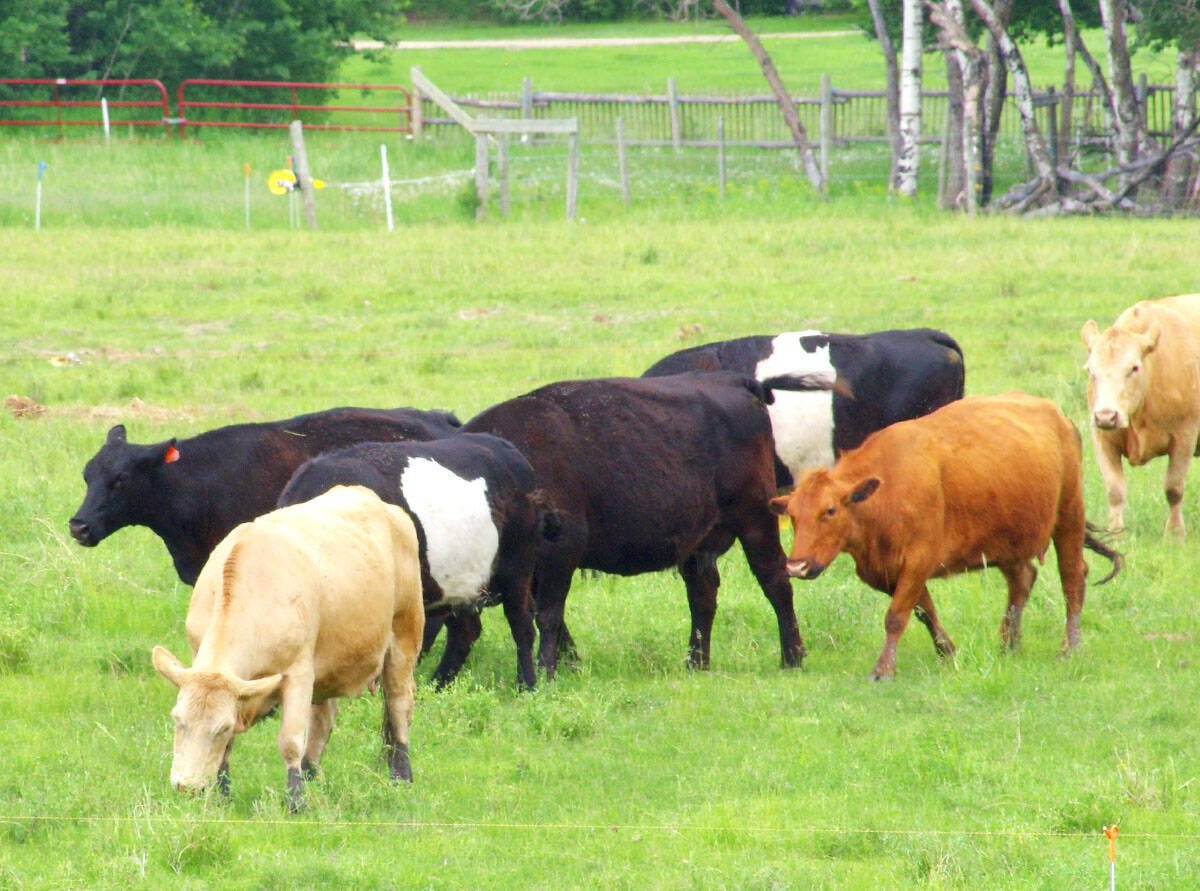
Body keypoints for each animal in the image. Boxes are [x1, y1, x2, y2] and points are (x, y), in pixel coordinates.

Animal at [151, 485, 425, 811]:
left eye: (221, 727)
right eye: (177, 720)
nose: (186, 787)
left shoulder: (298, 674)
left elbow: (291, 741)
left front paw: (295, 802)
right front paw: (223, 796)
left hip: (404, 637)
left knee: (399, 707)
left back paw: (402, 777)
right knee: (323, 721)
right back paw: (311, 775)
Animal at [278, 434, 557, 690]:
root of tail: (505, 447)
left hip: (516, 568)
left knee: (522, 624)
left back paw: (526, 686)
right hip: (457, 584)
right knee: (465, 631)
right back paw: (437, 687)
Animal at [463, 370, 846, 677]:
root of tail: (736, 381)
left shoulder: (561, 552)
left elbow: (547, 615)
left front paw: (547, 671)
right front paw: (569, 664)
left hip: (755, 520)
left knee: (775, 581)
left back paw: (791, 658)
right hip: (699, 543)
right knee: (703, 594)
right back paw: (696, 663)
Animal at [769, 394, 1121, 681]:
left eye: (829, 510)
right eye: (793, 515)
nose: (797, 566)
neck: (885, 490)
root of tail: (1059, 417)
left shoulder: (919, 560)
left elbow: (896, 616)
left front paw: (884, 669)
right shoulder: (889, 571)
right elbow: (924, 610)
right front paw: (948, 651)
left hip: (1068, 517)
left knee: (1072, 578)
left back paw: (1069, 647)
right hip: (1007, 541)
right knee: (1022, 580)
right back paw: (1009, 643)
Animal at [1081, 294, 1200, 536]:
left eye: (1133, 368)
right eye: (1090, 370)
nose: (1106, 416)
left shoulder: (1185, 435)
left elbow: (1174, 488)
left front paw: (1175, 532)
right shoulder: (1102, 438)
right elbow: (1115, 490)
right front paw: (1115, 532)